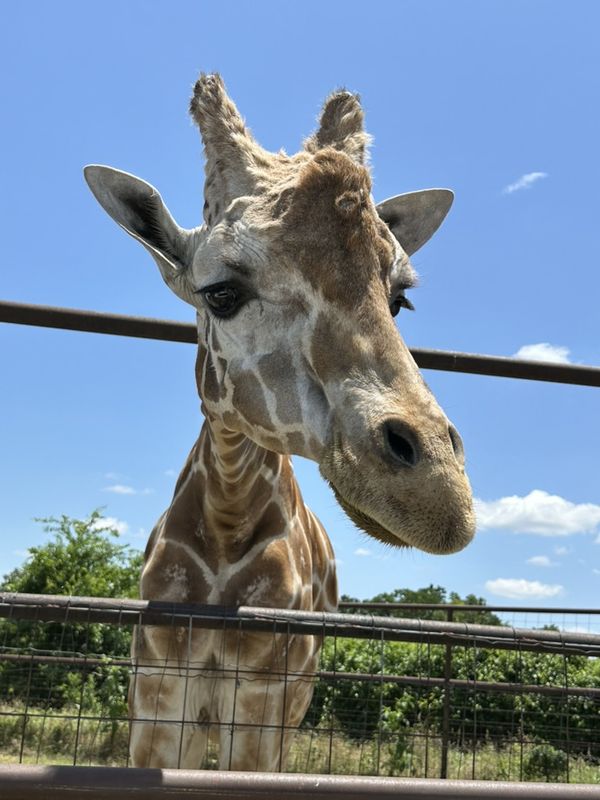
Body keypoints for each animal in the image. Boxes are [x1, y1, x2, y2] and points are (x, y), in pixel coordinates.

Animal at [84, 74, 475, 772]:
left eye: (399, 298)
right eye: (219, 293)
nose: (439, 495)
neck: (226, 511)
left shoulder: (264, 698)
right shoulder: (157, 688)